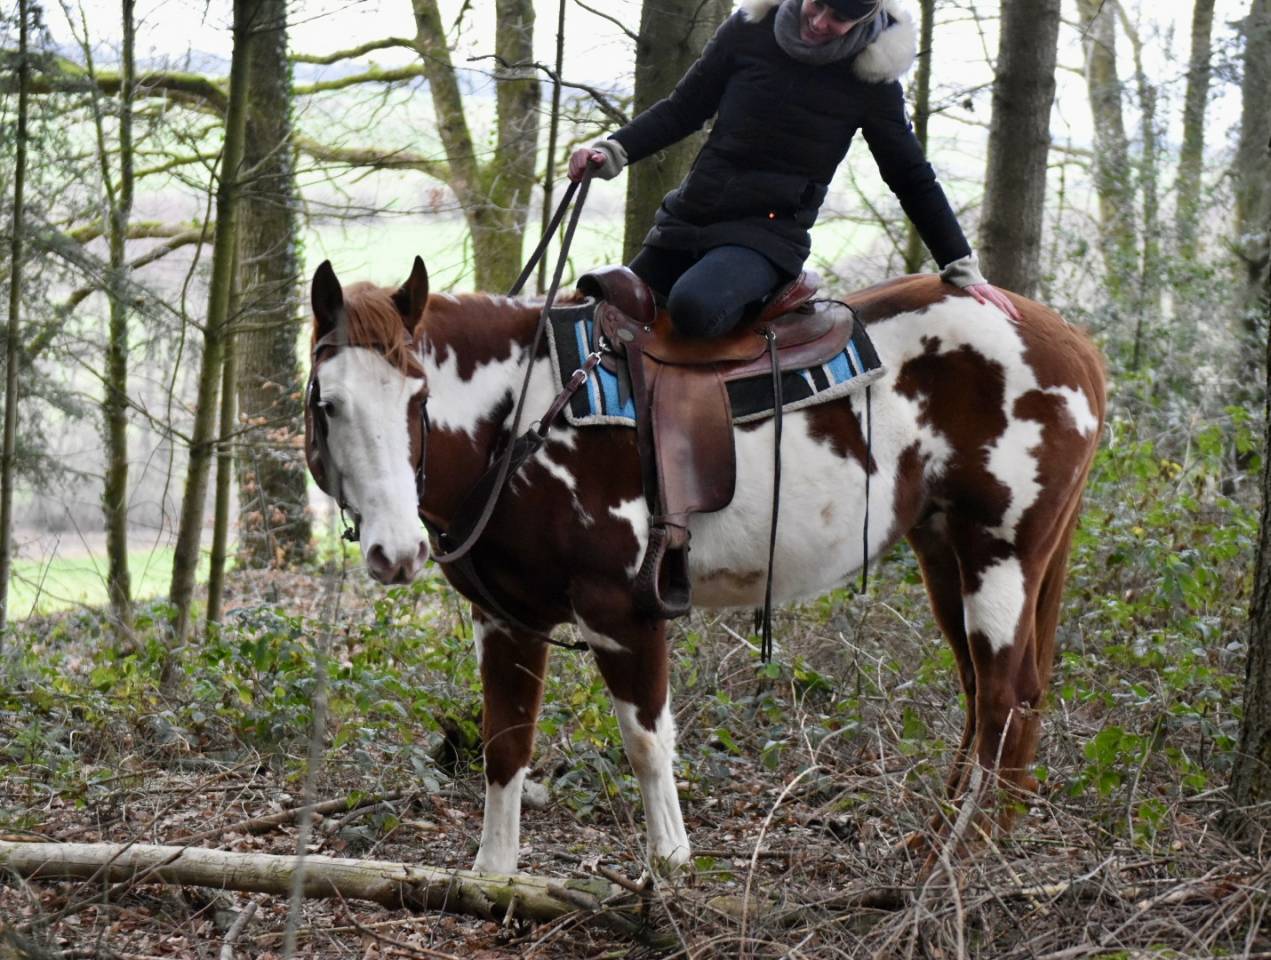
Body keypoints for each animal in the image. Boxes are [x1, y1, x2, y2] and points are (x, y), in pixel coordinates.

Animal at [303, 256, 1106, 875]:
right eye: (329, 404)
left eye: (416, 393)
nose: (396, 549)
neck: (524, 415)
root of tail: (1067, 339)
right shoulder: (506, 621)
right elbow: (505, 744)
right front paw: (493, 877)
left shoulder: (623, 612)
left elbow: (646, 742)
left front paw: (669, 864)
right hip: (945, 551)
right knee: (983, 697)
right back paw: (950, 841)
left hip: (999, 553)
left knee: (1002, 699)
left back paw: (958, 859)